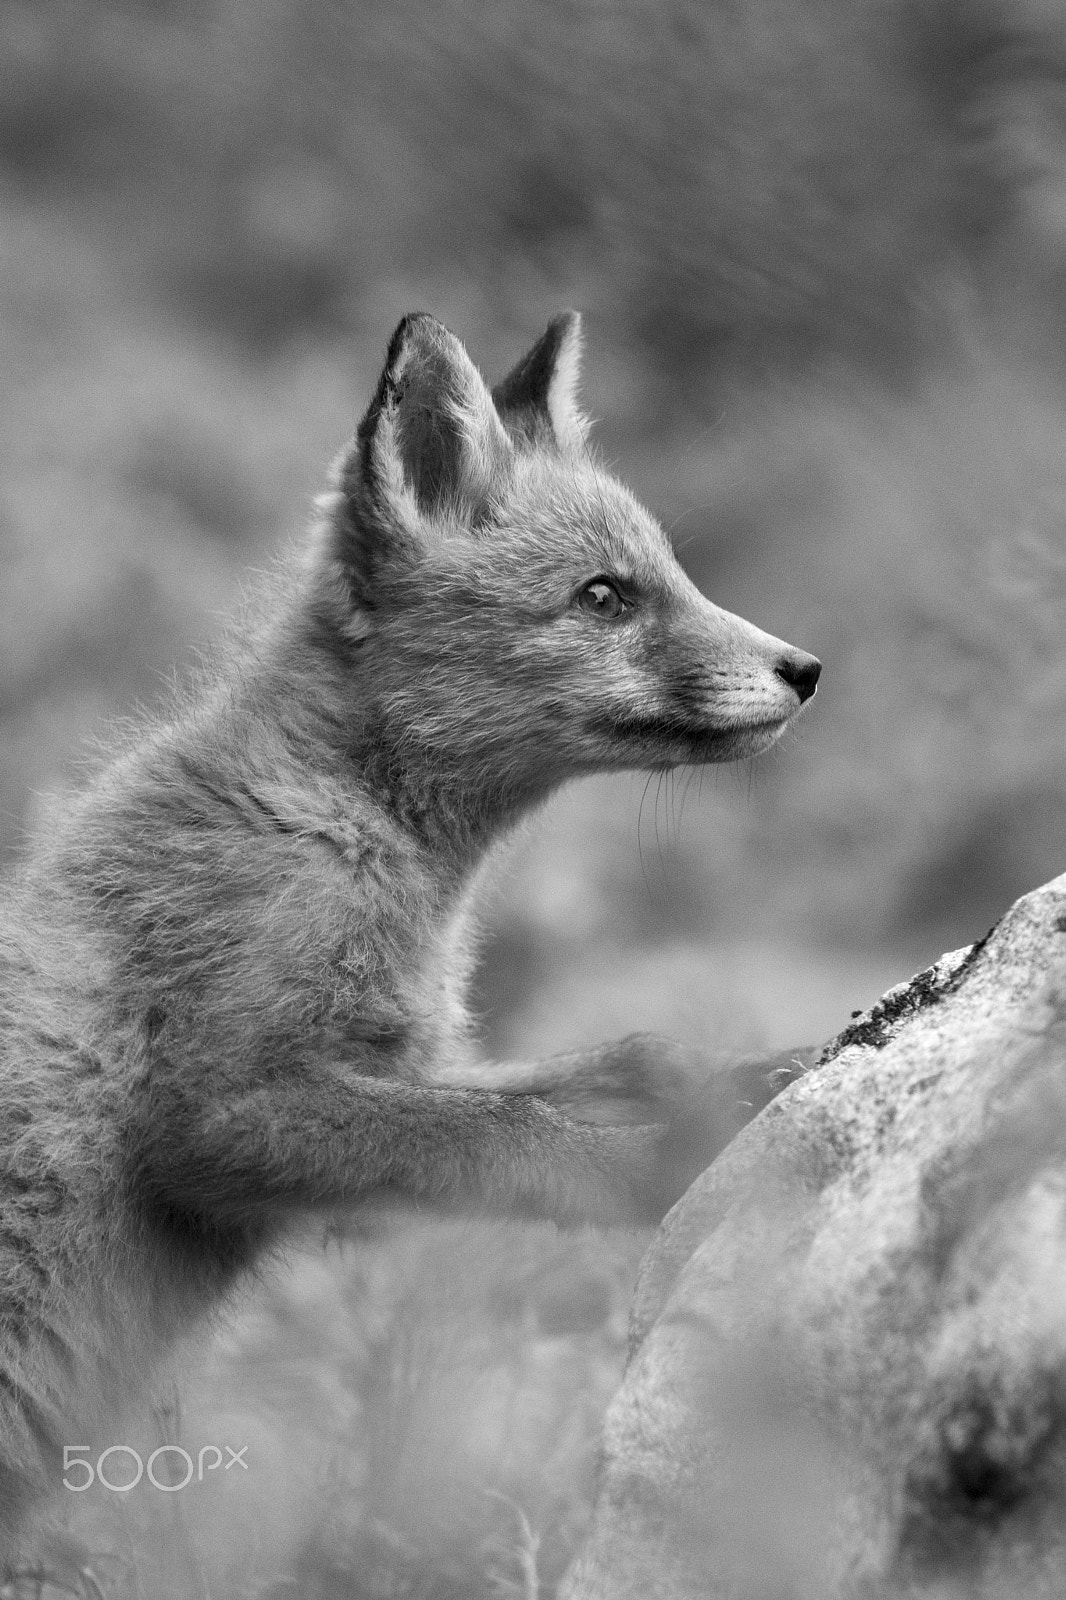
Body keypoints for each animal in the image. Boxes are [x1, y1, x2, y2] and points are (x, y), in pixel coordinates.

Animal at [0, 311, 819, 1565]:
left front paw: (735, 1076)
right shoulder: (217, 1117)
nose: (805, 669)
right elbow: (510, 1133)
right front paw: (664, 1158)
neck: (345, 830)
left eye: (669, 576)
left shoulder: (399, 1059)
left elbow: (598, 1064)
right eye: (604, 596)